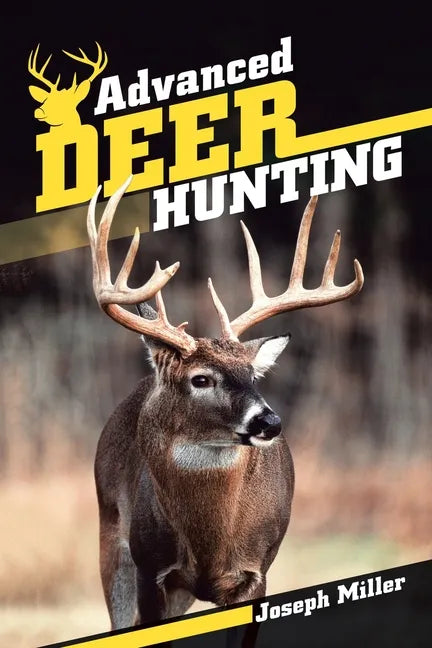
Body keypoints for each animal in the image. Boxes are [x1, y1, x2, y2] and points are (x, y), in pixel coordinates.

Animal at [87, 177, 364, 630]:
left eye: (253, 376)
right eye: (200, 379)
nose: (270, 422)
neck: (210, 543)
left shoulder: (256, 572)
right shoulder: (151, 569)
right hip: (111, 536)